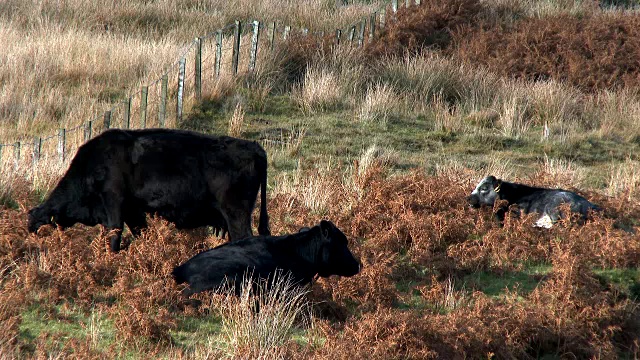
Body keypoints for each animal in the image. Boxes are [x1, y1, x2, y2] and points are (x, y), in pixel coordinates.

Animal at [27, 128, 270, 252]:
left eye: (39, 229)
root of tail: (255, 147)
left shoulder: (114, 206)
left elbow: (114, 236)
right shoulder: (133, 213)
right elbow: (142, 234)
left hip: (236, 215)